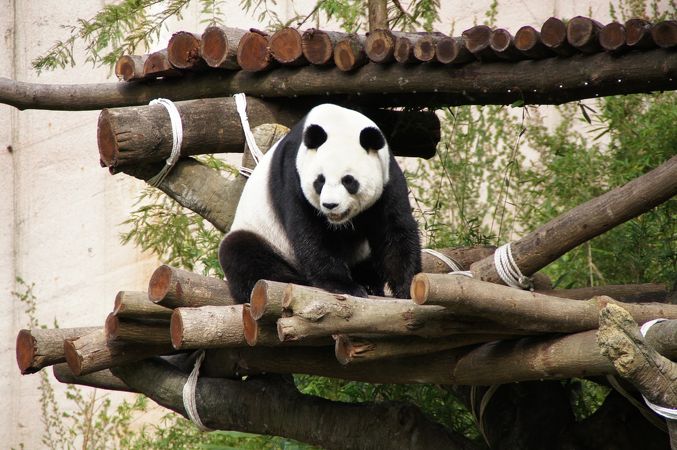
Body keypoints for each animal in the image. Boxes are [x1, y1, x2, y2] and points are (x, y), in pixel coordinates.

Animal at [222, 103, 420, 304]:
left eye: (348, 181)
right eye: (320, 181)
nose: (330, 205)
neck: (337, 121)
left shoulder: (387, 176)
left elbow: (394, 230)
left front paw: (408, 288)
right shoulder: (293, 174)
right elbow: (309, 233)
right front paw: (345, 285)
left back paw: (370, 284)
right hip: (264, 234)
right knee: (242, 254)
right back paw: (296, 280)